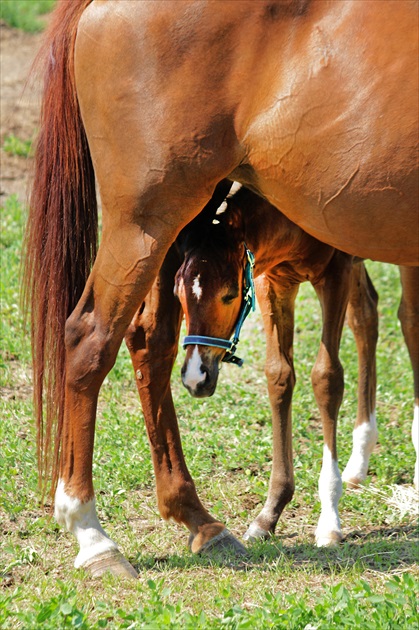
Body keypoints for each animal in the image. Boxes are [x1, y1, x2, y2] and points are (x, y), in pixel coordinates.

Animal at [24, 0, 418, 580]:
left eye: (232, 295)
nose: (199, 378)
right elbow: (306, 372)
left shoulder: (315, 271)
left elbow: (314, 371)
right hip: (144, 218)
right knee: (89, 338)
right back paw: (92, 535)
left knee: (151, 341)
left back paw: (199, 520)